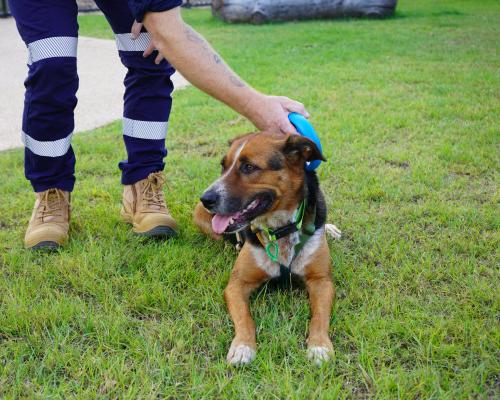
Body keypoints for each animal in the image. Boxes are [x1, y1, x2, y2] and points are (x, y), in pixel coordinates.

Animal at [191, 131, 340, 366]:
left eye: (249, 167)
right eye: (223, 166)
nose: (206, 199)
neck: (280, 228)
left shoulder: (322, 281)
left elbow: (320, 317)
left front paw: (319, 346)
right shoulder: (236, 285)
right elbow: (245, 317)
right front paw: (242, 346)